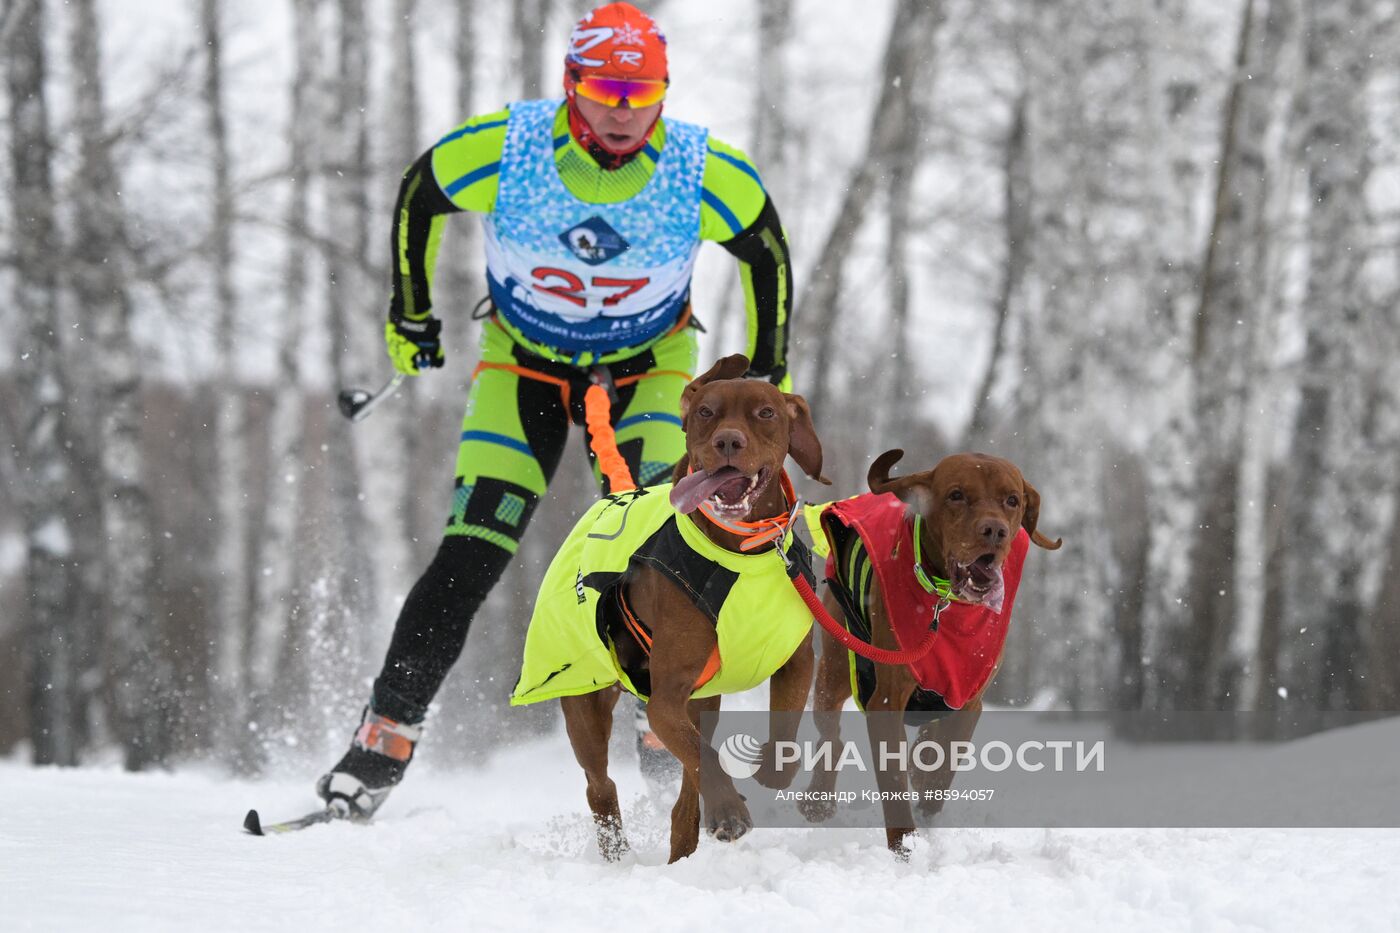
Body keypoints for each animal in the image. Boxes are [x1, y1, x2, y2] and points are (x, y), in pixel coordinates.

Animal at [512, 353, 817, 862]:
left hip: (704, 698)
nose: (728, 441)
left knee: (684, 789)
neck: (742, 554)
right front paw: (729, 812)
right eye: (706, 412)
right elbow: (701, 757)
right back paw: (621, 854)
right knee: (601, 784)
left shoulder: (796, 662)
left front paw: (758, 780)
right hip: (585, 700)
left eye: (766, 412)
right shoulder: (665, 700)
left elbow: (782, 745)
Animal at [806, 448, 1052, 851]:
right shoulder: (887, 699)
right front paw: (905, 847)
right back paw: (817, 803)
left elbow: (943, 764)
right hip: (834, 667)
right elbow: (893, 779)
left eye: (1012, 500)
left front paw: (927, 800)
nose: (995, 531)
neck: (946, 604)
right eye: (956, 495)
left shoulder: (968, 699)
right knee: (831, 738)